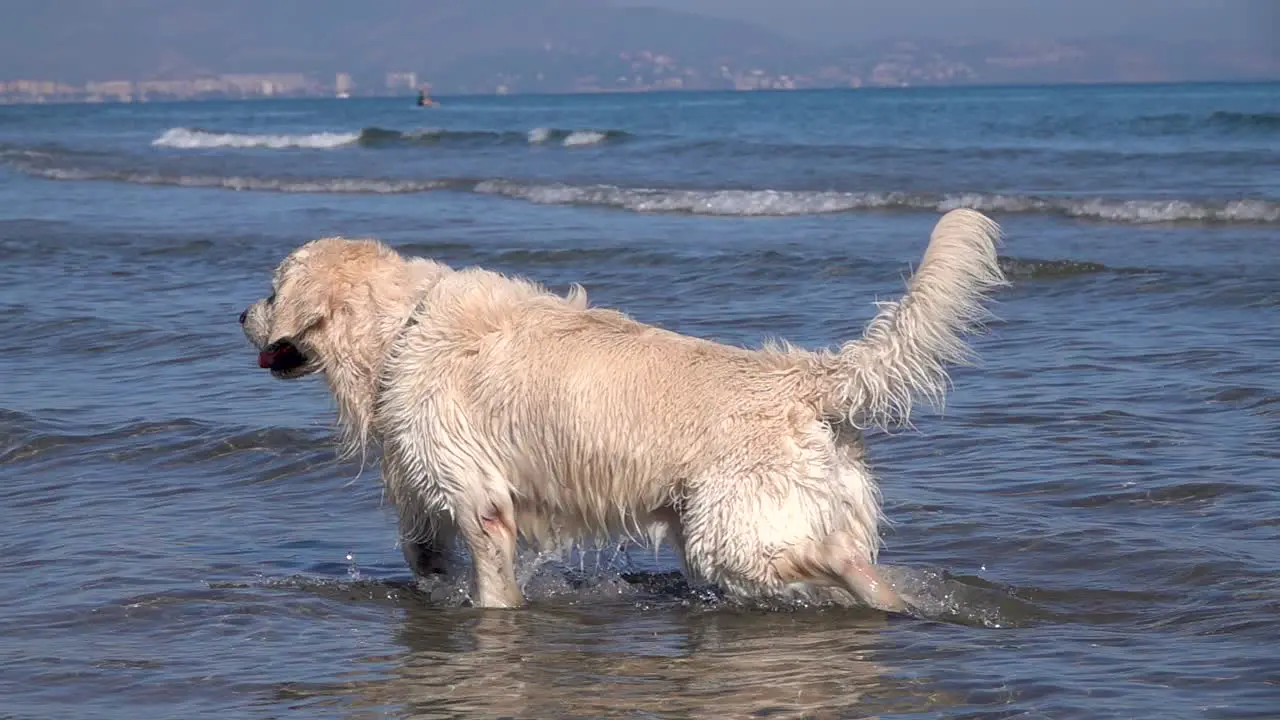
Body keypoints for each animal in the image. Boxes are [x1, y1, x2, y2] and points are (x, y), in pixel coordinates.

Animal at [238, 208, 998, 609]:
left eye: (272, 291)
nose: (240, 315)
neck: (402, 326)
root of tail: (804, 377)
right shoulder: (428, 481)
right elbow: (419, 545)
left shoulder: (477, 495)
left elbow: (489, 576)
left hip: (730, 532)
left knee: (834, 560)